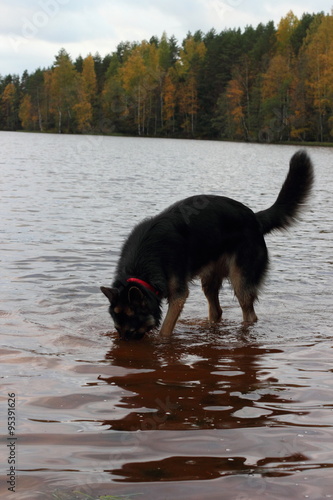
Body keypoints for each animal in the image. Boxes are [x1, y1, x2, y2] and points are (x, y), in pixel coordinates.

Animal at [100, 151, 312, 340]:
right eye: (117, 327)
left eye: (131, 326)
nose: (124, 347)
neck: (145, 260)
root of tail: (255, 218)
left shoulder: (179, 296)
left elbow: (165, 329)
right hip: (209, 281)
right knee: (217, 312)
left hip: (240, 281)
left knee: (249, 315)